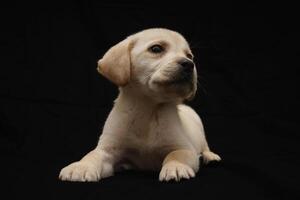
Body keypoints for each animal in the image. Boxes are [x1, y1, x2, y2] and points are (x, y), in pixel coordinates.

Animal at [59, 28, 221, 183]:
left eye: (189, 56)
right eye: (156, 49)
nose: (189, 64)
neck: (148, 109)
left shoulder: (185, 148)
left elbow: (176, 155)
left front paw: (176, 167)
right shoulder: (108, 150)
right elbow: (92, 154)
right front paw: (81, 166)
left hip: (199, 126)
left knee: (205, 145)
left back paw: (210, 156)